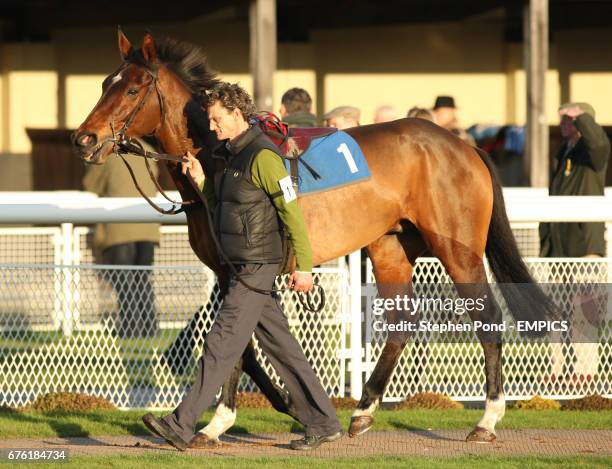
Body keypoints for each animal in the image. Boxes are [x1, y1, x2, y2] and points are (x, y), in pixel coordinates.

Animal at [70, 32, 556, 442]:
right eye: (104, 84)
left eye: (132, 90)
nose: (84, 139)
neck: (220, 158)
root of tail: (463, 146)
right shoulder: (230, 272)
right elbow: (243, 345)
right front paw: (278, 405)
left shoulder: (241, 269)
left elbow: (235, 342)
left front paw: (216, 422)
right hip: (391, 247)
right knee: (402, 323)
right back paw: (362, 411)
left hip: (458, 248)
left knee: (488, 318)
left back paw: (487, 419)